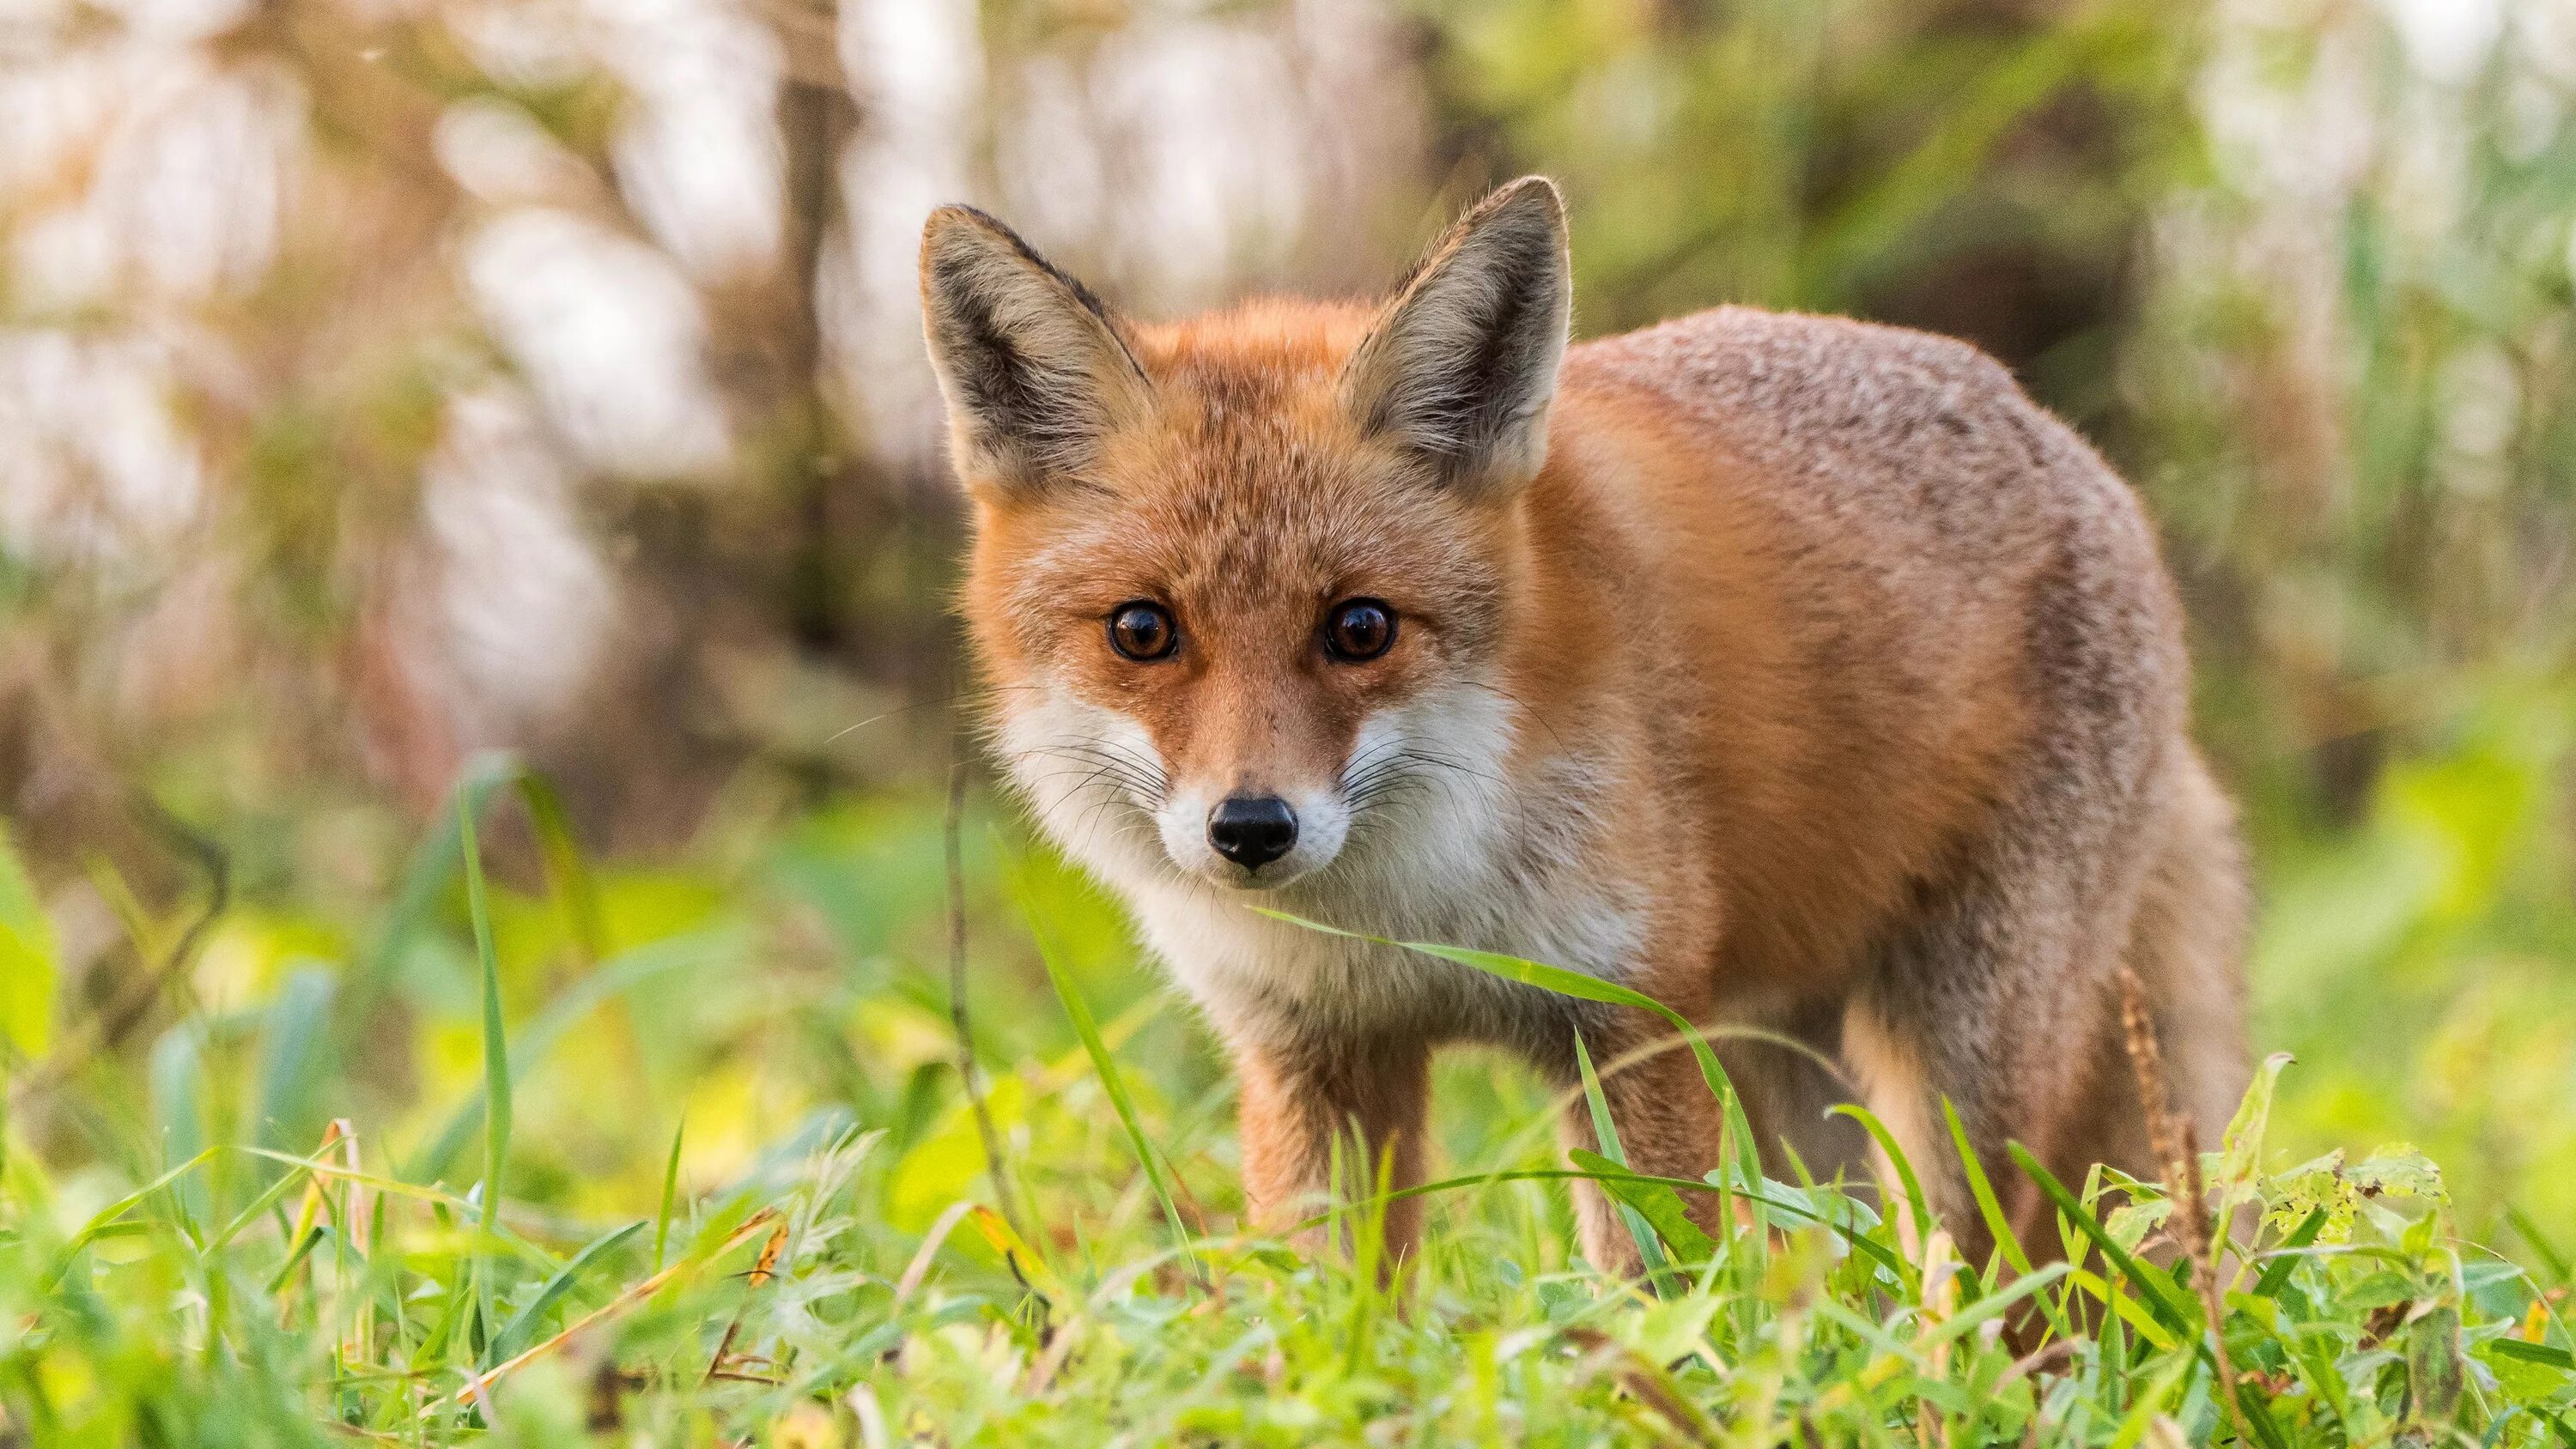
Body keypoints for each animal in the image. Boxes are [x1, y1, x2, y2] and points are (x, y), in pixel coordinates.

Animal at [917, 176, 2246, 1276]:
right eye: (1143, 631)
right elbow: (1331, 1313)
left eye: (1360, 628)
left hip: (1965, 1054)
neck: (1402, 921)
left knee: (1981, 1275)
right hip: (1787, 1058)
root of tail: (2076, 449)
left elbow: (1661, 1291)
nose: (1251, 828)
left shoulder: (1625, 1020)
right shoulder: (1314, 1051)